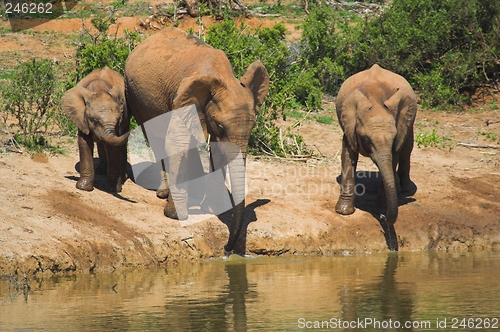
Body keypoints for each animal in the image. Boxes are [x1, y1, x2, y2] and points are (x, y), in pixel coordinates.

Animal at [125, 28, 270, 255]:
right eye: (220, 126)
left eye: (253, 127)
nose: (227, 249)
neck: (223, 77)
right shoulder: (183, 100)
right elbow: (176, 143)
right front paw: (175, 215)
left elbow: (218, 151)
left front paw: (212, 207)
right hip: (135, 95)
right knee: (155, 137)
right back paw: (163, 192)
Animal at [336, 63, 418, 248]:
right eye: (366, 139)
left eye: (393, 138)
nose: (383, 218)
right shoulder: (349, 125)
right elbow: (348, 155)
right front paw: (343, 211)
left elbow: (394, 156)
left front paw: (381, 207)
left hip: (409, 121)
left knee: (406, 149)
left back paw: (405, 189)